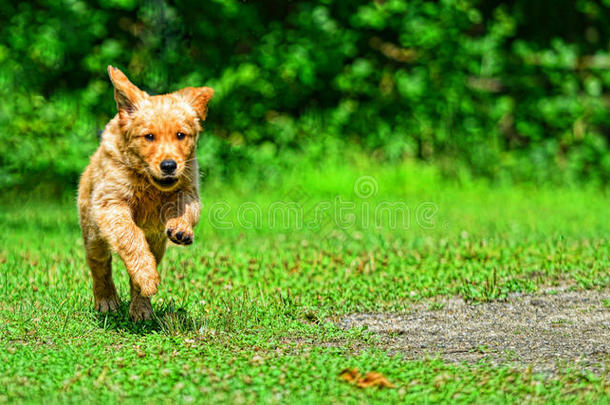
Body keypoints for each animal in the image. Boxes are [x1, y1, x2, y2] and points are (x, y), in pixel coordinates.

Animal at [78, 65, 214, 318]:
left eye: (180, 135)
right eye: (149, 136)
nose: (169, 165)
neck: (149, 184)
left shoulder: (188, 189)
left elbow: (185, 208)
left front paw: (181, 228)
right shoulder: (111, 204)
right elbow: (131, 236)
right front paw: (147, 277)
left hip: (157, 243)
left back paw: (141, 308)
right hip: (93, 233)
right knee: (99, 265)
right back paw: (107, 301)